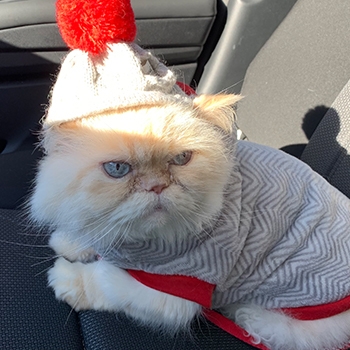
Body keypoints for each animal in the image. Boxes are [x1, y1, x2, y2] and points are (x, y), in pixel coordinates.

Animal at [28, 93, 350, 350]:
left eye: (182, 159)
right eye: (117, 169)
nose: (157, 186)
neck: (140, 241)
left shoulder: (175, 291)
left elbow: (104, 279)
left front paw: (66, 278)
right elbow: (88, 235)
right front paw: (68, 241)